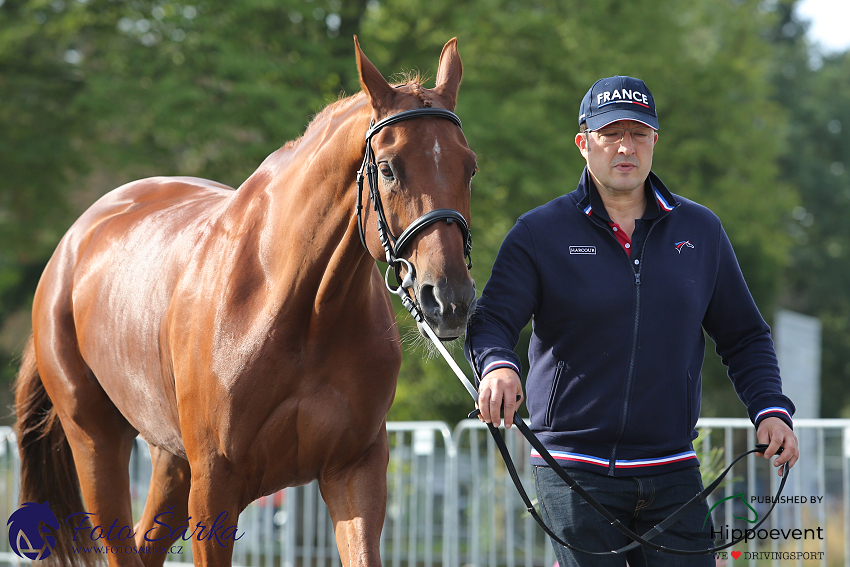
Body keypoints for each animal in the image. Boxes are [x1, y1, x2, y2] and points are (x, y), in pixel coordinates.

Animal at [14, 37, 476, 564]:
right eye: (388, 169)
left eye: (470, 167)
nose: (449, 297)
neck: (302, 311)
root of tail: (72, 245)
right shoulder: (215, 485)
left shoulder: (354, 470)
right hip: (96, 443)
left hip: (171, 461)